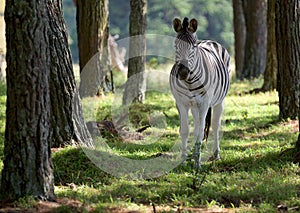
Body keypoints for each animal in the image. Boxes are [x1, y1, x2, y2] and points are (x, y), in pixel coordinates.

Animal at [169, 17, 230, 170]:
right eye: (176, 46)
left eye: (193, 46)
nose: (183, 73)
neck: (190, 82)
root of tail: (208, 40)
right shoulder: (181, 103)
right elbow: (185, 130)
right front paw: (184, 160)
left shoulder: (204, 103)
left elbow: (202, 131)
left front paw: (197, 164)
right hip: (194, 105)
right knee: (196, 126)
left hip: (218, 101)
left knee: (215, 125)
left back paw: (216, 154)